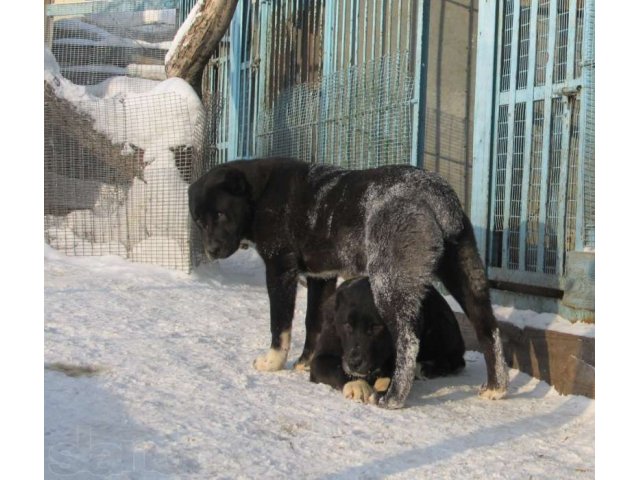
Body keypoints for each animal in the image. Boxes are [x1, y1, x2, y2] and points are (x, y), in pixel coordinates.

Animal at [310, 276, 464, 404]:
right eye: (347, 325)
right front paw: (357, 385)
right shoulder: (320, 359)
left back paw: (424, 367)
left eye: (376, 326)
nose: (354, 363)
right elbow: (337, 369)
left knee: (455, 360)